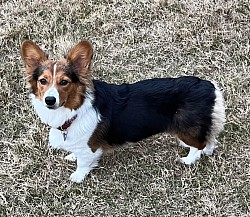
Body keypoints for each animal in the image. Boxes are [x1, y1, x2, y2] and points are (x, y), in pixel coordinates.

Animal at [20, 39, 226, 182]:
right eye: (43, 81)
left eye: (64, 82)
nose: (49, 100)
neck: (75, 108)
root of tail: (208, 87)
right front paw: (71, 155)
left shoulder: (89, 147)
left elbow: (84, 162)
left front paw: (77, 176)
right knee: (209, 140)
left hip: (186, 129)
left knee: (199, 145)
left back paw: (188, 160)